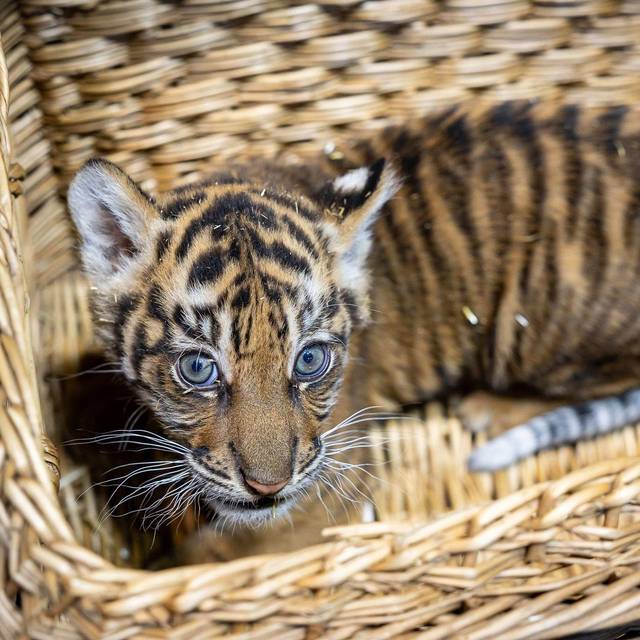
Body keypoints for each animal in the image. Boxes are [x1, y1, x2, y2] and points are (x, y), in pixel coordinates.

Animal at [68, 100, 640, 555]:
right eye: (197, 368)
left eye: (309, 360)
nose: (267, 488)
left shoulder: (324, 485)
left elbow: (223, 550)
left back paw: (489, 407)